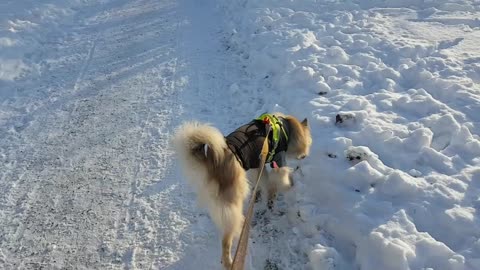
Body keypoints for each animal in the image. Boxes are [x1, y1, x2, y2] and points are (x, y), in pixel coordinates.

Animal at [172, 113, 312, 268]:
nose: (304, 155)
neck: (285, 128)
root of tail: (213, 161)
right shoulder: (278, 162)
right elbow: (279, 180)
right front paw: (287, 187)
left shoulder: (256, 166)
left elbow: (262, 181)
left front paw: (260, 194)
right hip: (233, 205)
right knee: (226, 241)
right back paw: (229, 261)